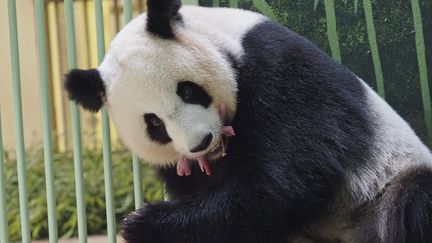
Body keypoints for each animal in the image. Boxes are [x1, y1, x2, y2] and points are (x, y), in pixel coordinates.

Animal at [63, 0, 432, 243]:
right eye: (154, 124)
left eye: (188, 90)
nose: (200, 143)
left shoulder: (281, 74)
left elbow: (279, 186)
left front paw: (143, 221)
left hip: (378, 190)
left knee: (411, 198)